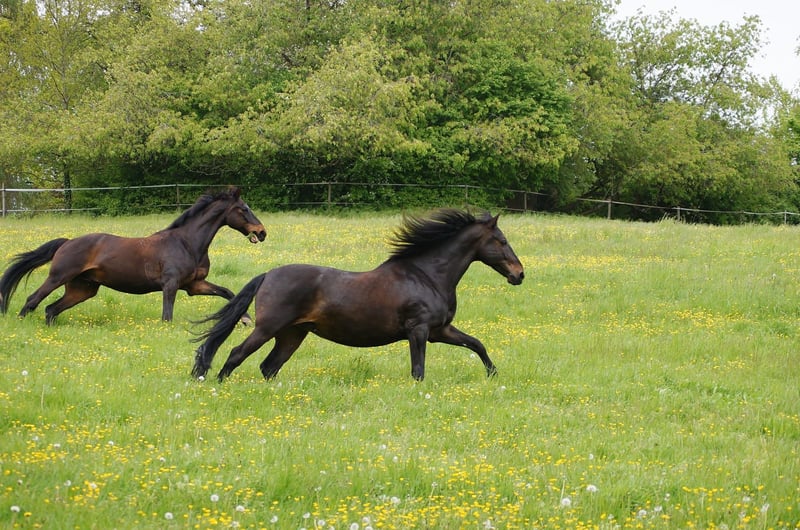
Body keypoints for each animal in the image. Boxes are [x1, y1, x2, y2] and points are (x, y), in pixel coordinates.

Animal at [0, 187, 266, 324]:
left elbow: (227, 293)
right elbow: (167, 316)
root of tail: (66, 243)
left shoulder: (194, 285)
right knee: (33, 300)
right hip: (58, 277)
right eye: (243, 209)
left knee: (51, 309)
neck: (187, 243)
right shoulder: (170, 285)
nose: (261, 232)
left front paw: (245, 319)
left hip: (82, 289)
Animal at [191, 209, 524, 382]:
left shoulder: (439, 330)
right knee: (237, 354)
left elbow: (477, 344)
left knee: (269, 367)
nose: (519, 274)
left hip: (292, 334)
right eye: (502, 240)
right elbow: (418, 370)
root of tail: (268, 275)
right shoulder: (418, 330)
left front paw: (494, 375)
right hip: (268, 328)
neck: (427, 275)